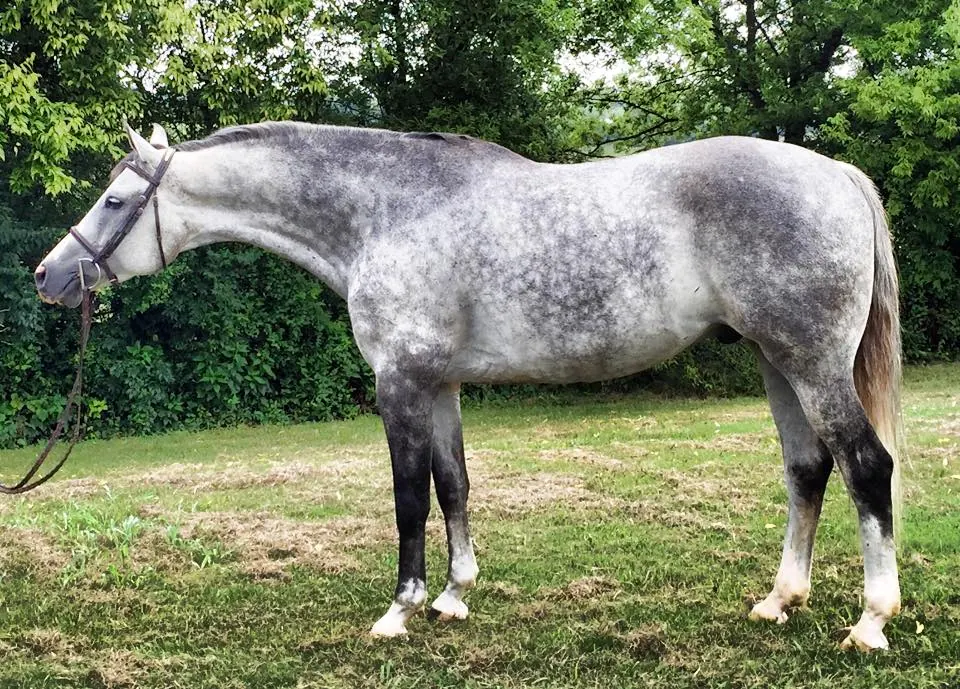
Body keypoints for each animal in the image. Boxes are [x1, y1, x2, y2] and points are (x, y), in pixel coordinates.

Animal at [34, 121, 903, 651]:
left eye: (116, 199)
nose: (49, 275)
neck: (384, 213)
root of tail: (834, 173)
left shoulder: (399, 383)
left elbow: (407, 497)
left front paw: (400, 608)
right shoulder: (441, 383)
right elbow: (453, 484)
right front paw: (455, 594)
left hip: (811, 362)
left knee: (866, 466)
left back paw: (871, 620)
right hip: (776, 361)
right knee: (808, 469)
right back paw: (779, 599)